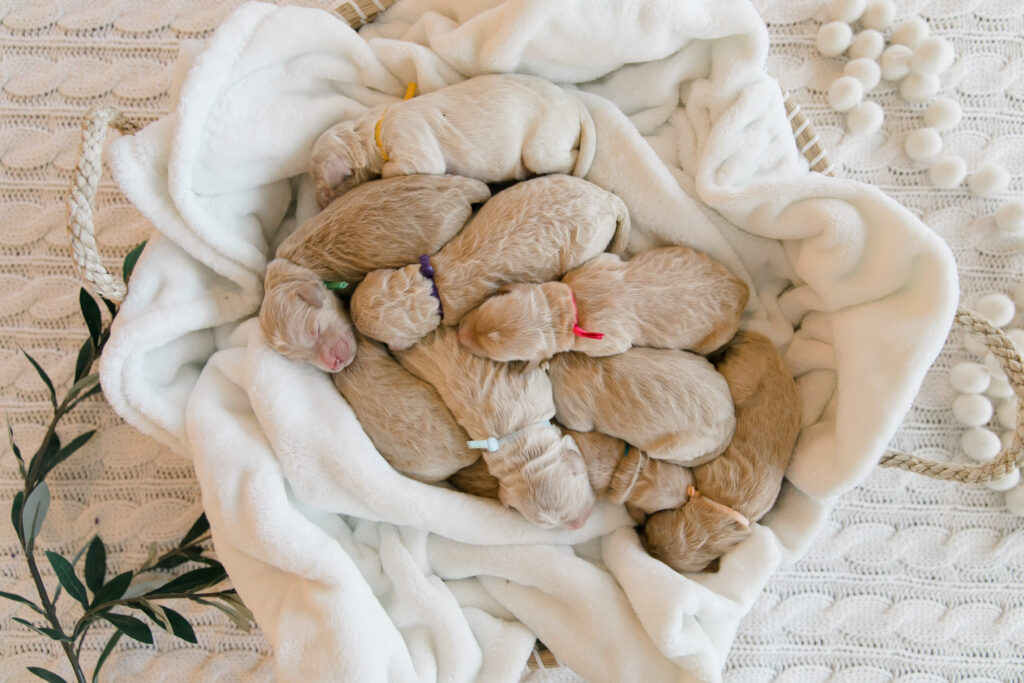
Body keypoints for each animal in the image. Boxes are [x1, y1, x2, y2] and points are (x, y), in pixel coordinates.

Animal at [309, 73, 596, 208]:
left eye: (320, 184)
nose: (319, 206)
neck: (373, 129)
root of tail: (575, 104)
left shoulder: (410, 139)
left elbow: (400, 168)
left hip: (543, 144)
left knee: (568, 157)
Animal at [457, 247, 749, 363]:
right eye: (482, 307)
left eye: (493, 356)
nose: (460, 333)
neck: (567, 309)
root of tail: (741, 289)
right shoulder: (599, 263)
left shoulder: (606, 341)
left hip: (714, 338)